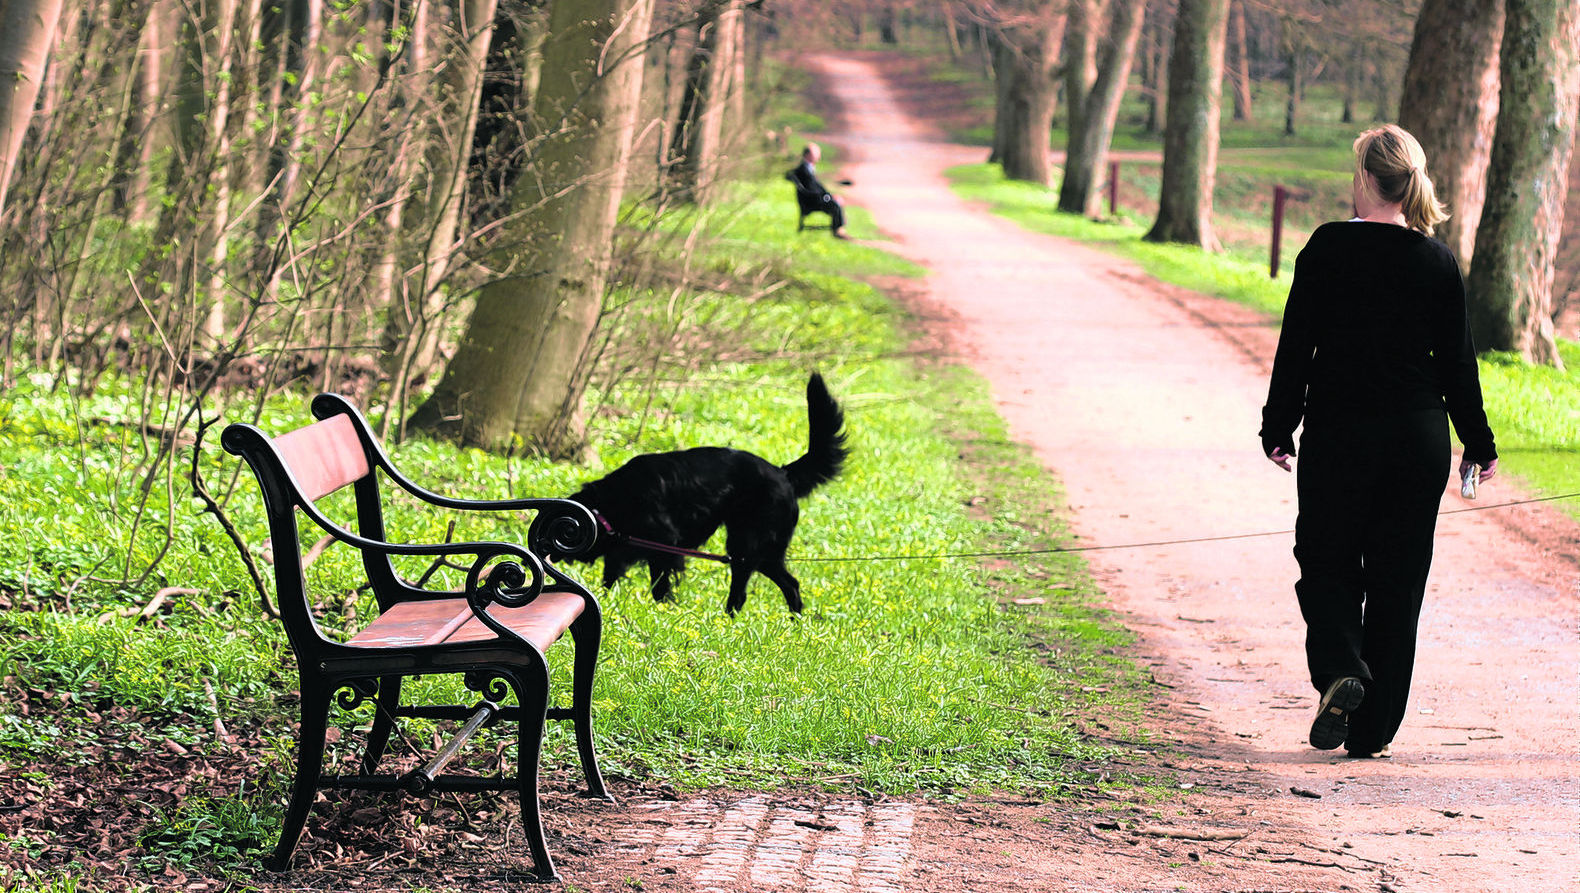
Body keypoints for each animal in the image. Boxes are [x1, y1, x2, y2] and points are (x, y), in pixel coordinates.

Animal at [543, 371, 846, 613]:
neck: (614, 500)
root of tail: (782, 473)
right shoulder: (624, 551)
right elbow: (610, 576)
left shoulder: (665, 544)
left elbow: (659, 584)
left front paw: (663, 608)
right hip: (761, 552)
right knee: (790, 583)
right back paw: (794, 620)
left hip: (747, 545)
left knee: (743, 590)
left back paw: (730, 617)